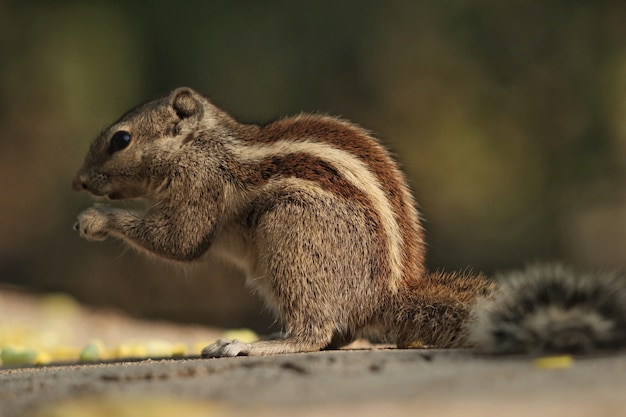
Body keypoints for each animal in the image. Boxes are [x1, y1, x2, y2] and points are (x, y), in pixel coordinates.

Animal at [72, 87, 624, 354]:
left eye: (121, 139)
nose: (77, 182)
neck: (202, 144)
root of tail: (387, 296)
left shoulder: (199, 185)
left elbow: (180, 241)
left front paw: (95, 219)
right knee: (338, 333)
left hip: (292, 234)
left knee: (316, 333)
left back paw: (256, 346)